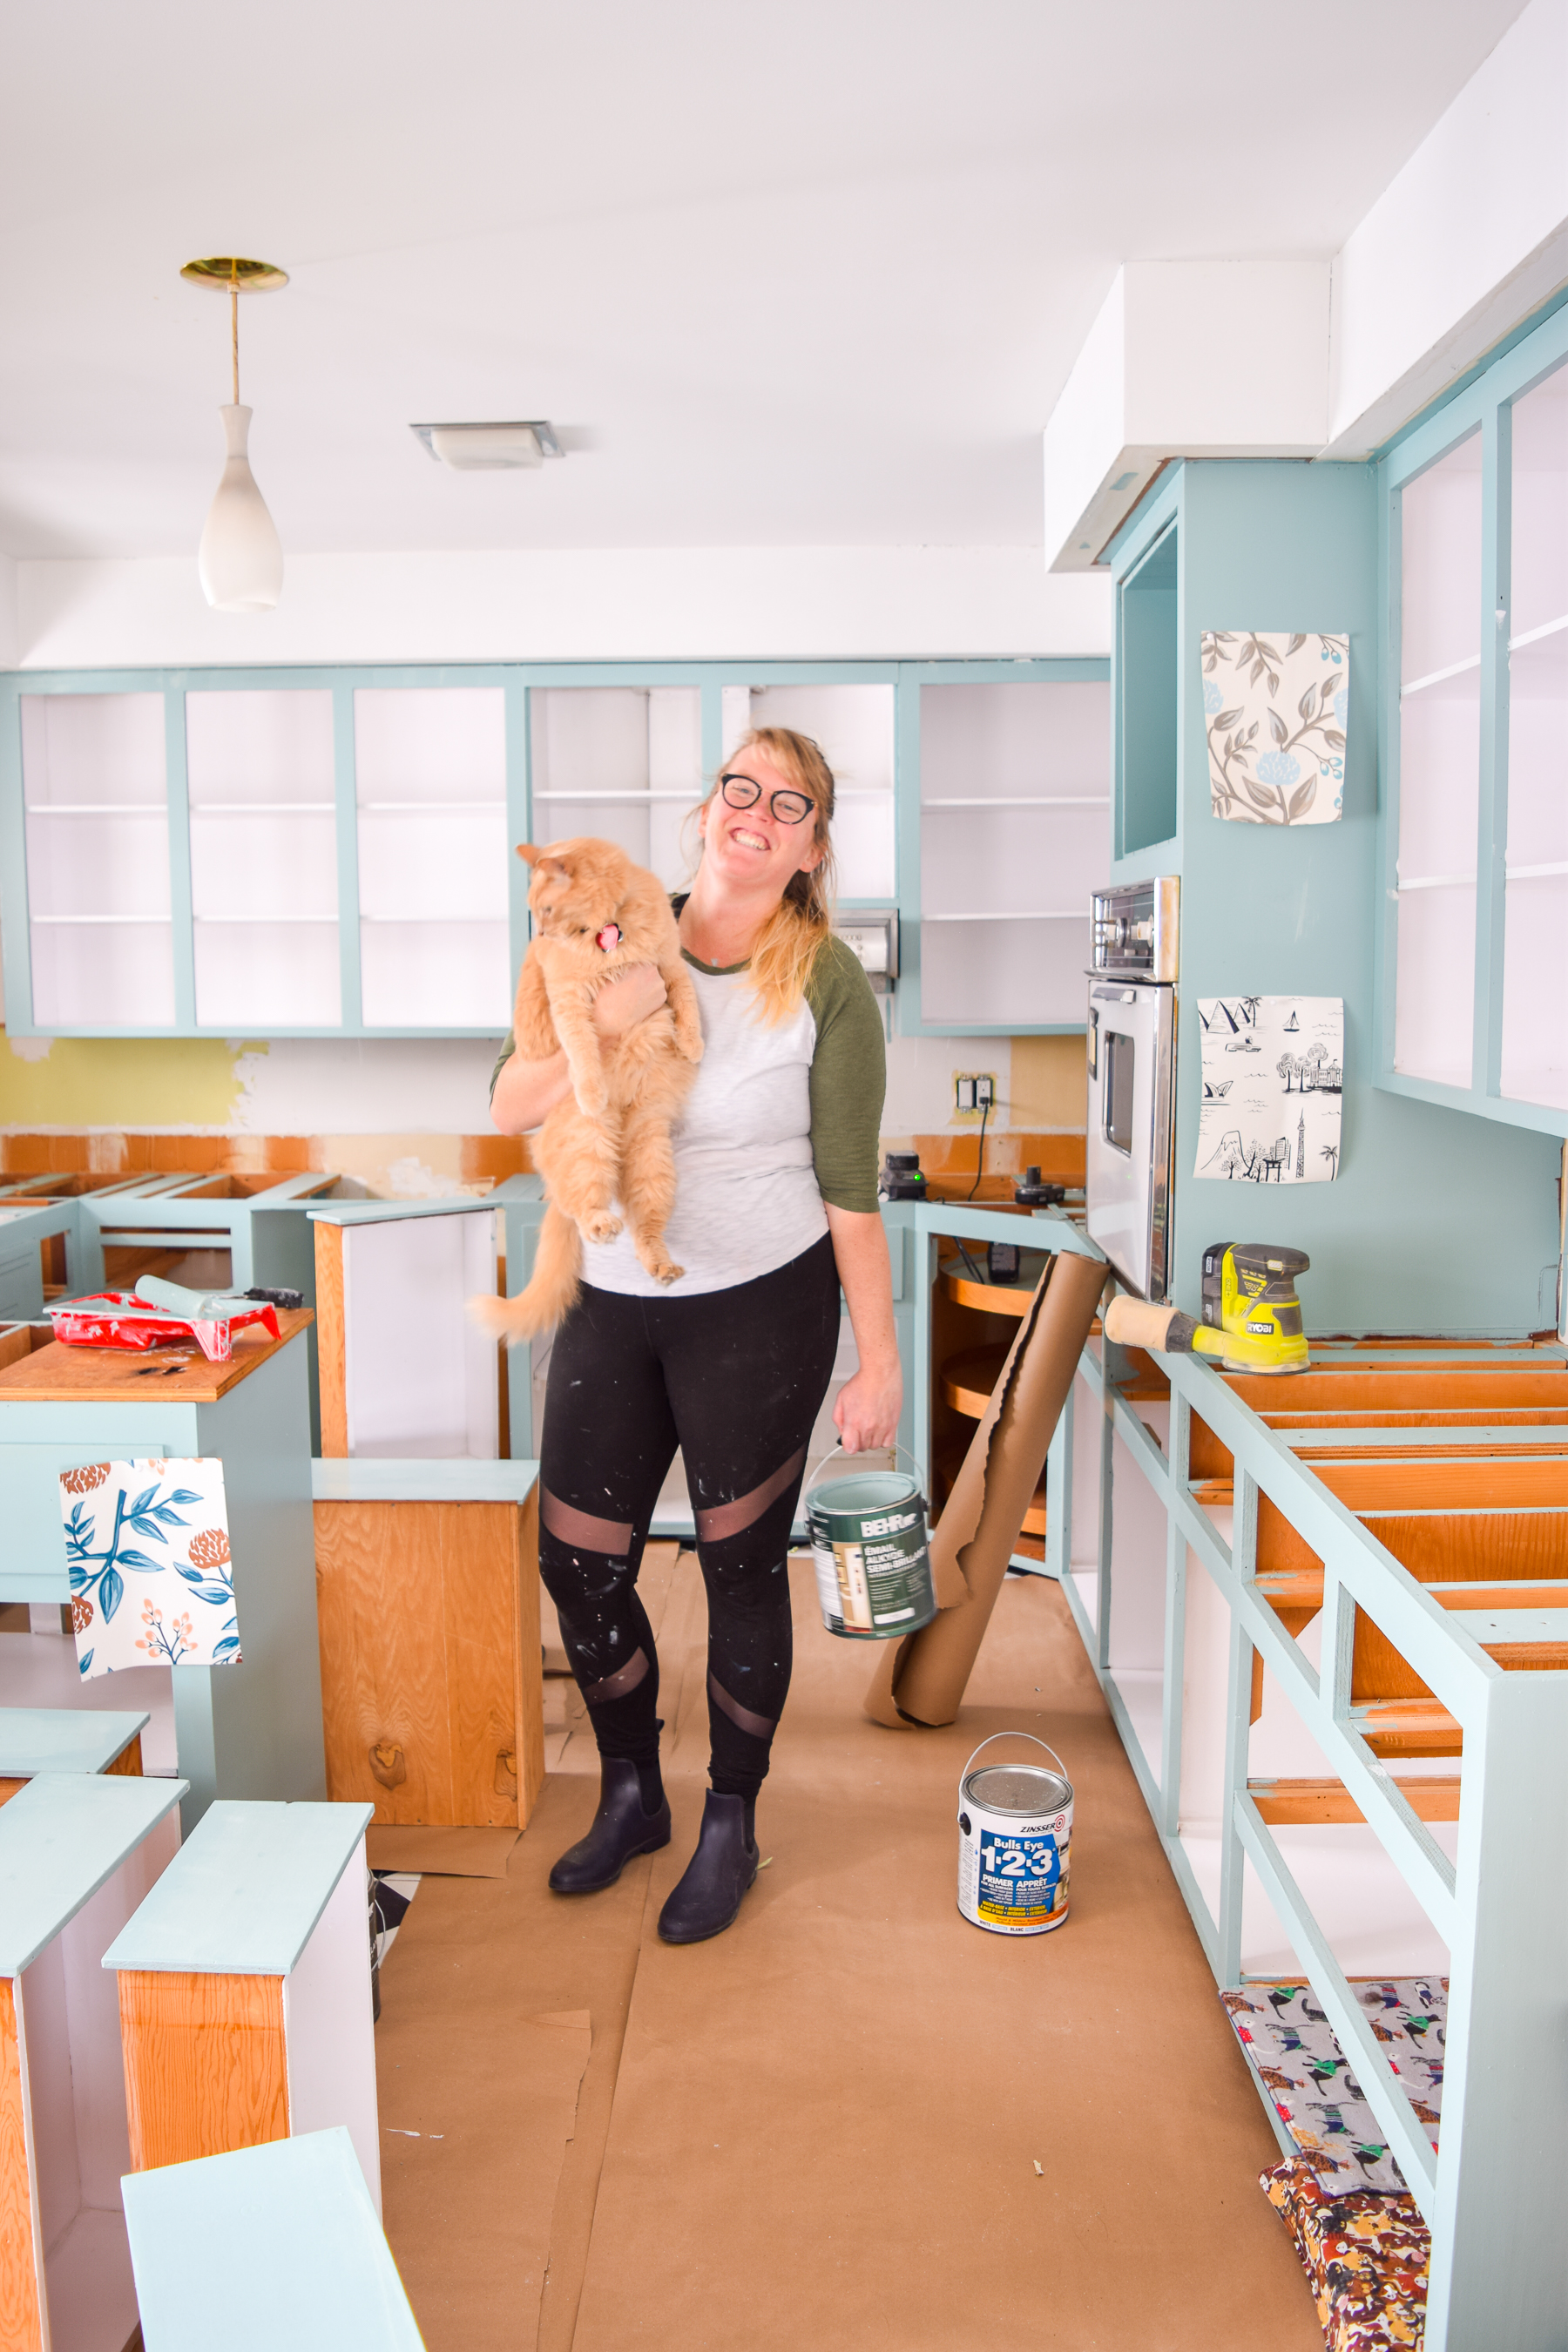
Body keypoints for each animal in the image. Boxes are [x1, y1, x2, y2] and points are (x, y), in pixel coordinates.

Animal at [470, 841, 700, 1345]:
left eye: (546, 909)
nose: (542, 937)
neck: (609, 930)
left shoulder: (669, 964)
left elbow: (687, 999)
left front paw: (694, 1045)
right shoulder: (570, 1000)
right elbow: (583, 1051)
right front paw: (592, 1089)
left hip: (651, 1157)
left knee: (644, 1228)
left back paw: (663, 1267)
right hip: (588, 1142)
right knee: (583, 1203)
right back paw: (600, 1221)